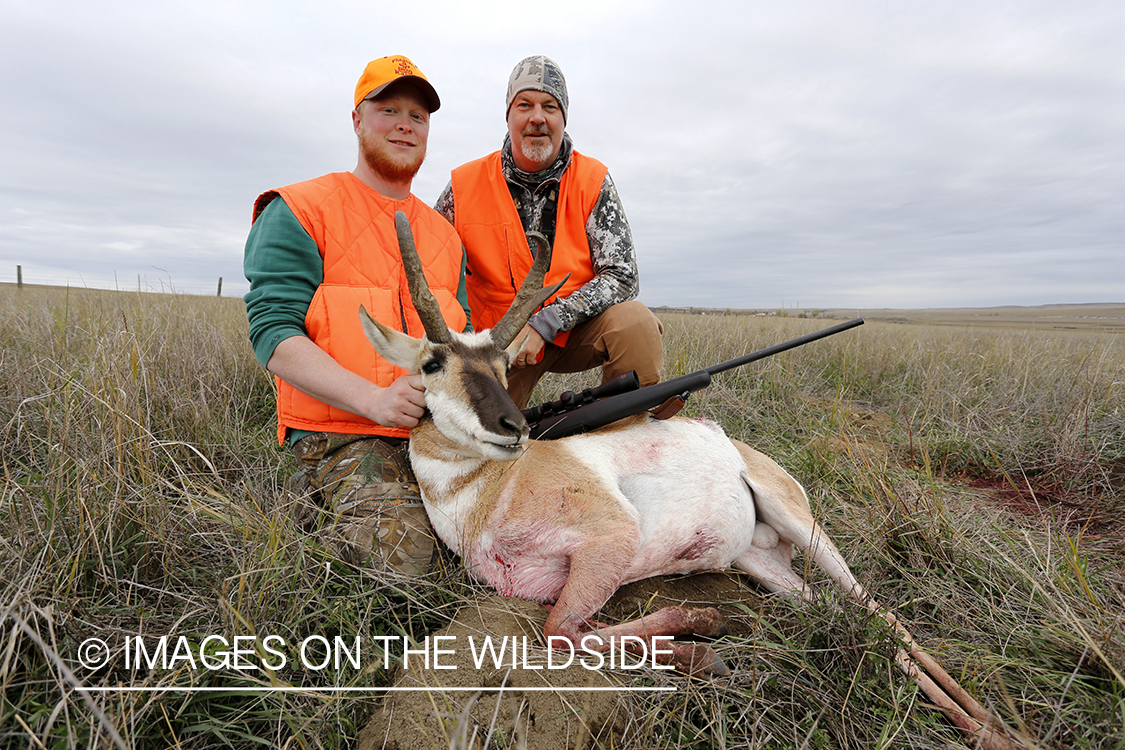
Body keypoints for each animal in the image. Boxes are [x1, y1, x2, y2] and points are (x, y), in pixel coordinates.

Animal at [357, 211, 1021, 750]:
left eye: (501, 363)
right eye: (432, 362)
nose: (513, 426)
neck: (483, 496)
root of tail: (739, 447)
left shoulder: (609, 540)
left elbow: (560, 632)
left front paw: (703, 636)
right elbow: (569, 632)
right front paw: (705, 643)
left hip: (800, 524)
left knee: (881, 611)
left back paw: (994, 730)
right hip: (763, 564)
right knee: (843, 609)